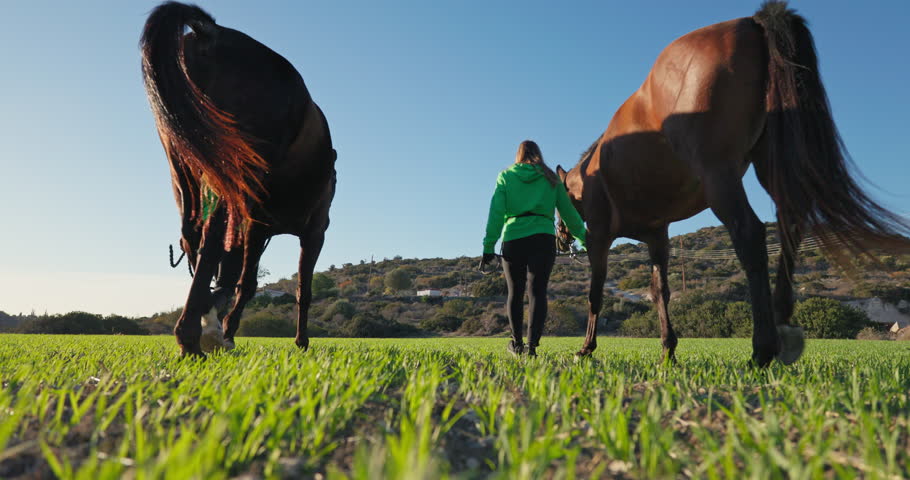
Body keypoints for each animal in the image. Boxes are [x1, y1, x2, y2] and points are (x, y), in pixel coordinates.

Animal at [141, 2, 337, 357]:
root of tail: (212, 34)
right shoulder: (312, 232)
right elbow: (299, 289)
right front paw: (300, 341)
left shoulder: (257, 227)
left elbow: (240, 278)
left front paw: (223, 327)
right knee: (210, 240)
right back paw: (193, 335)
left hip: (186, 163)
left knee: (194, 235)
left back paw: (197, 328)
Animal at [555, 1, 910, 367]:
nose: (561, 240)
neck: (592, 171)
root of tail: (752, 23)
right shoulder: (657, 237)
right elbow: (659, 291)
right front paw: (668, 349)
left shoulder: (600, 237)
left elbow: (596, 291)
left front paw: (587, 348)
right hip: (770, 165)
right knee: (790, 224)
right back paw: (783, 323)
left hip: (720, 179)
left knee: (750, 236)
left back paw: (763, 348)